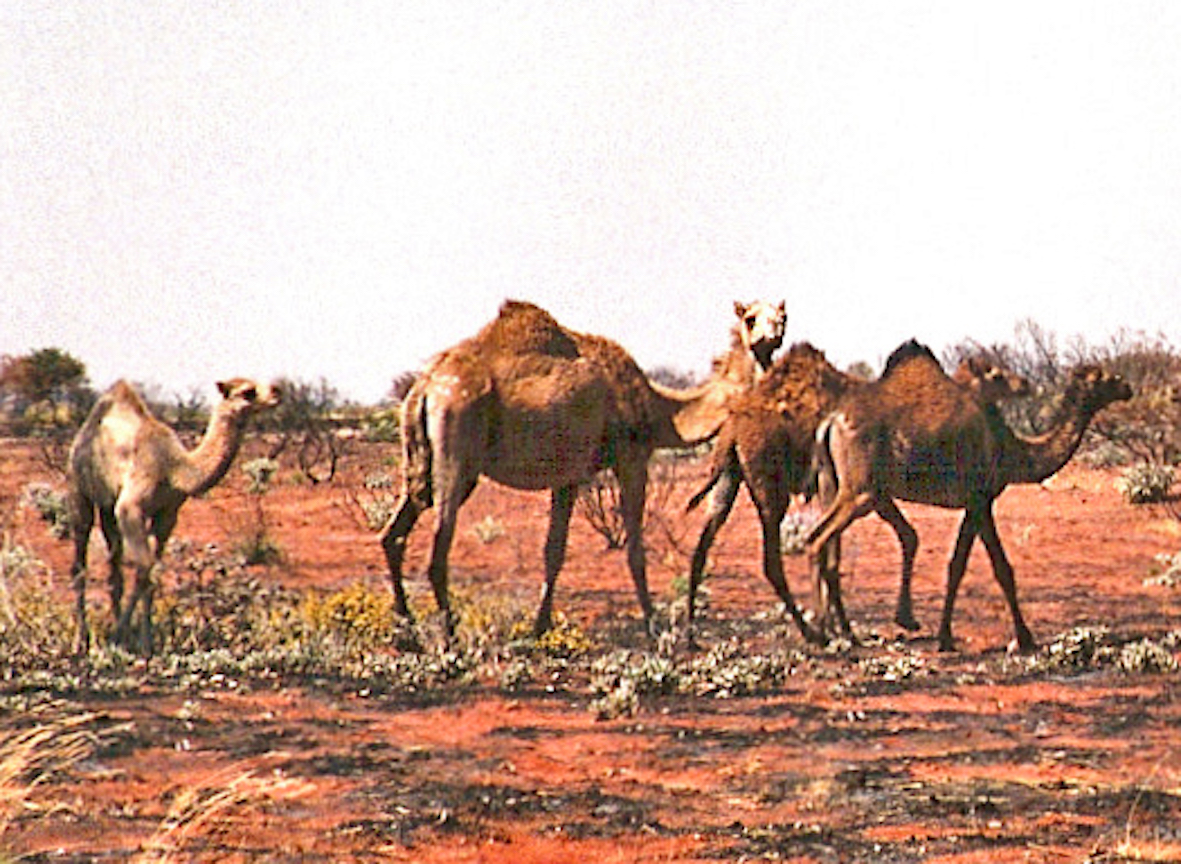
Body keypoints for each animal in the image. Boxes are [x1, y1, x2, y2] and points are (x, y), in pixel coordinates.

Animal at [68, 377, 281, 654]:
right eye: (247, 392)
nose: (277, 391)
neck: (175, 469)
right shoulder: (131, 508)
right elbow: (144, 569)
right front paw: (122, 636)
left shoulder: (167, 515)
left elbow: (151, 574)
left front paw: (142, 640)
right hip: (78, 487)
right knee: (80, 561)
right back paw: (81, 641)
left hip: (107, 505)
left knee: (114, 564)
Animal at [379, 298, 785, 640]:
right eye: (751, 319)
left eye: (783, 316)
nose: (770, 338)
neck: (661, 410)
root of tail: (425, 387)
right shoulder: (632, 456)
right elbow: (635, 548)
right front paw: (652, 625)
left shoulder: (569, 475)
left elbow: (554, 551)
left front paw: (539, 627)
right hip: (457, 442)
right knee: (437, 548)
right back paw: (449, 635)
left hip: (421, 460)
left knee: (393, 534)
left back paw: (407, 630)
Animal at [684, 340, 1030, 644]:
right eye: (996, 375)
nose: (1024, 383)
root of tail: (732, 428)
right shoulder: (860, 489)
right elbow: (852, 547)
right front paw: (840, 626)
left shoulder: (868, 491)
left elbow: (893, 539)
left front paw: (861, 623)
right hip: (772, 485)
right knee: (773, 558)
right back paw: (812, 633)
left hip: (730, 476)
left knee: (703, 545)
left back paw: (691, 635)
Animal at [804, 345, 1131, 652]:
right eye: (1101, 376)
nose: (1126, 386)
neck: (1012, 448)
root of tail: (829, 424)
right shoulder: (981, 499)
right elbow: (997, 567)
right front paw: (1023, 638)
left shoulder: (973, 504)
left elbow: (958, 566)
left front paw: (945, 636)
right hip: (861, 491)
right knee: (817, 540)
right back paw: (818, 631)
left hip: (834, 486)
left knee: (829, 548)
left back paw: (842, 632)